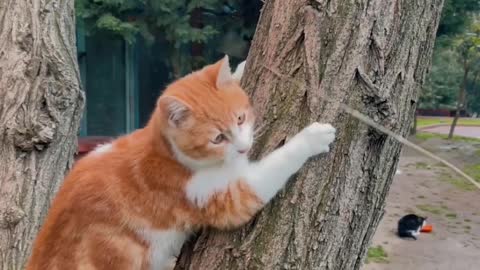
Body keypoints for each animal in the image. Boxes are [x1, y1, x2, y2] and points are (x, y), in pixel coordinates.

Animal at [25, 56, 334, 268]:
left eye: (240, 119)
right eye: (218, 138)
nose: (244, 148)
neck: (168, 153)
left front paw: (238, 69)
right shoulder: (225, 197)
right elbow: (274, 167)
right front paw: (313, 138)